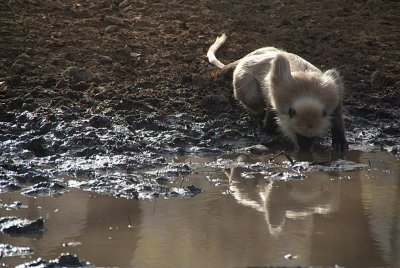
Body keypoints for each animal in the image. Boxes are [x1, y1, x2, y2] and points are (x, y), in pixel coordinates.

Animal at [206, 33, 346, 151]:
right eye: (299, 135)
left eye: (313, 137)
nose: (305, 147)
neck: (307, 92)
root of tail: (248, 56)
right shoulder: (279, 91)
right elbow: (271, 103)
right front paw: (267, 130)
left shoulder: (332, 91)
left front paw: (339, 139)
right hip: (242, 78)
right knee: (253, 98)